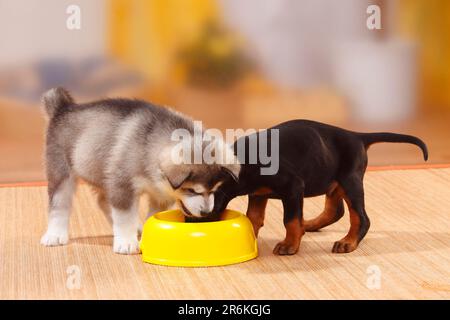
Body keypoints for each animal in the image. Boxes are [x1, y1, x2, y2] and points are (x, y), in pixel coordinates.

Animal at [40, 88, 239, 255]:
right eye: (190, 190)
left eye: (214, 190)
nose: (206, 213)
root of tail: (64, 107)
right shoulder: (123, 186)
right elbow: (124, 216)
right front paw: (126, 243)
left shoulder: (159, 196)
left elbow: (150, 216)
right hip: (61, 172)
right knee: (59, 205)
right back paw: (55, 235)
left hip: (104, 175)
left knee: (103, 200)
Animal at [213, 119, 428, 255]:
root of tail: (357, 136)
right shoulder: (258, 194)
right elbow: (254, 217)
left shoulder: (293, 187)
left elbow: (290, 220)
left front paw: (289, 245)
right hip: (333, 182)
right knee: (335, 211)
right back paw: (308, 225)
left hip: (350, 181)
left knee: (361, 218)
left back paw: (347, 242)